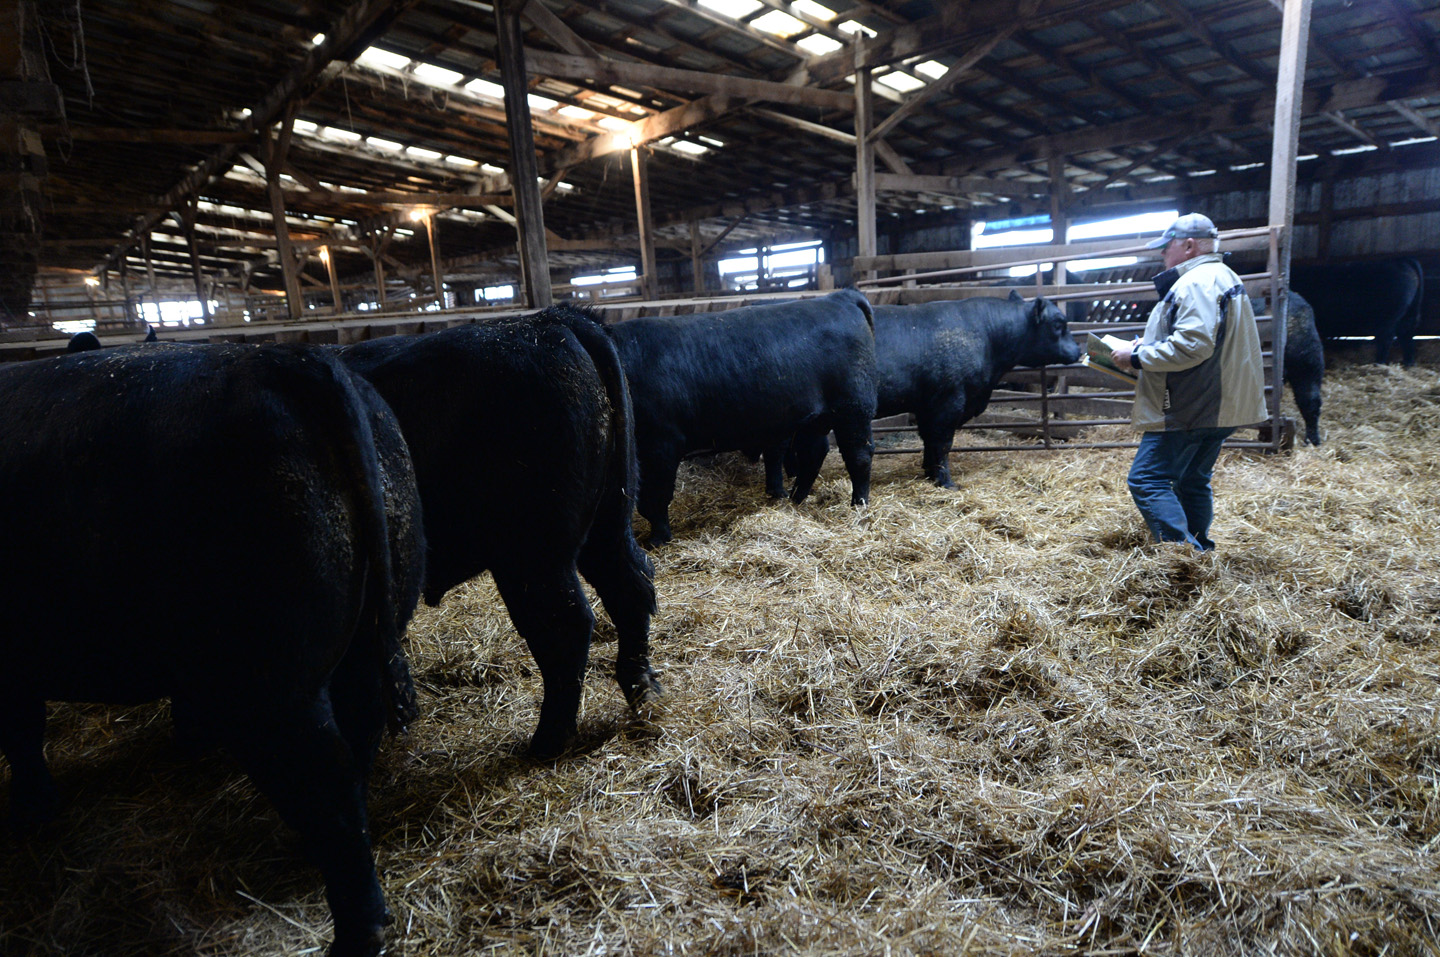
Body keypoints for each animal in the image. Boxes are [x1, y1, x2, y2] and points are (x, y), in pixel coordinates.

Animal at [0, 343, 423, 955]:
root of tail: (290, 358)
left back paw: (353, 934)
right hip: (365, 639)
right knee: (358, 733)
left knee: (327, 777)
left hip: (268, 681)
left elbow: (21, 733)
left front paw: (32, 812)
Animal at [336, 306, 659, 759]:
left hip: (531, 553)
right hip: (608, 523)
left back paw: (546, 742)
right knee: (632, 587)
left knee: (565, 623)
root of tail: (550, 320)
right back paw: (645, 694)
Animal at [607, 284, 875, 543]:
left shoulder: (661, 443)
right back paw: (795, 500)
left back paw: (858, 505)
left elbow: (655, 496)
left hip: (854, 407)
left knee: (859, 455)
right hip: (816, 419)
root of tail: (839, 297)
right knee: (814, 454)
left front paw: (658, 539)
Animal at [864, 289, 1082, 486]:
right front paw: (946, 481)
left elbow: (928, 440)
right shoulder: (949, 401)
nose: (1078, 351)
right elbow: (941, 443)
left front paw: (930, 474)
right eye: (1057, 324)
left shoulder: (927, 406)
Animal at [1290, 257, 1422, 365]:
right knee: (1406, 335)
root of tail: (1401, 261)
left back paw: (1379, 362)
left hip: (1387, 318)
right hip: (1407, 316)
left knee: (1387, 338)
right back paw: (1408, 362)